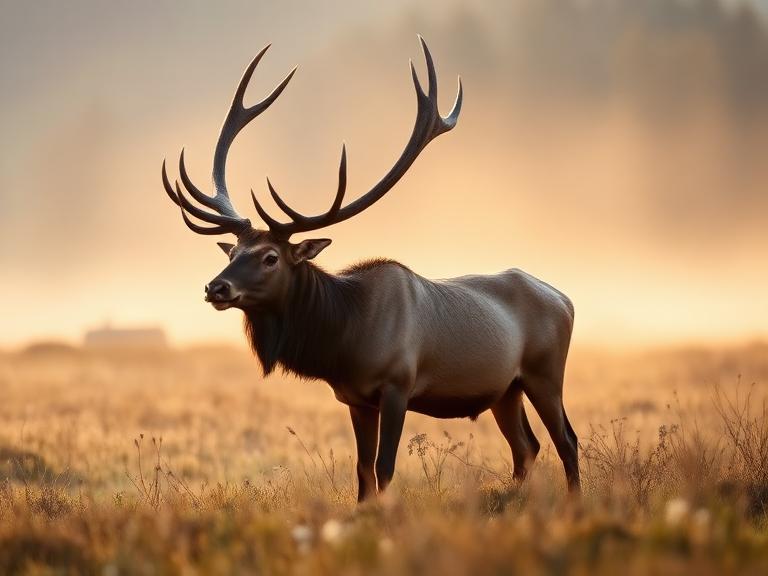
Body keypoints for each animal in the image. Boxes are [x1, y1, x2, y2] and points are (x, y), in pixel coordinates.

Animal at [161, 37, 579, 500]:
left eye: (271, 257)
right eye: (232, 252)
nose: (215, 288)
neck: (344, 337)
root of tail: (565, 300)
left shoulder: (398, 385)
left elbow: (384, 467)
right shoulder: (355, 399)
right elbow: (362, 470)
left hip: (545, 373)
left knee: (566, 440)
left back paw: (574, 500)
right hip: (506, 389)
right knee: (527, 446)